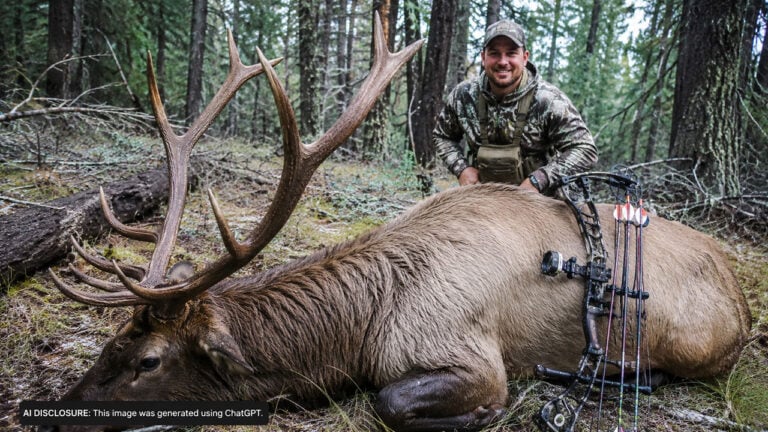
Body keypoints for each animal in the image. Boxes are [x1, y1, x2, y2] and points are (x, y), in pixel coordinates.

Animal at [45, 14, 751, 432]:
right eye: (111, 341)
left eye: (149, 361)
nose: (53, 413)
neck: (362, 329)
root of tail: (745, 299)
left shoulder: (474, 359)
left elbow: (389, 401)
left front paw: (478, 418)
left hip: (697, 347)